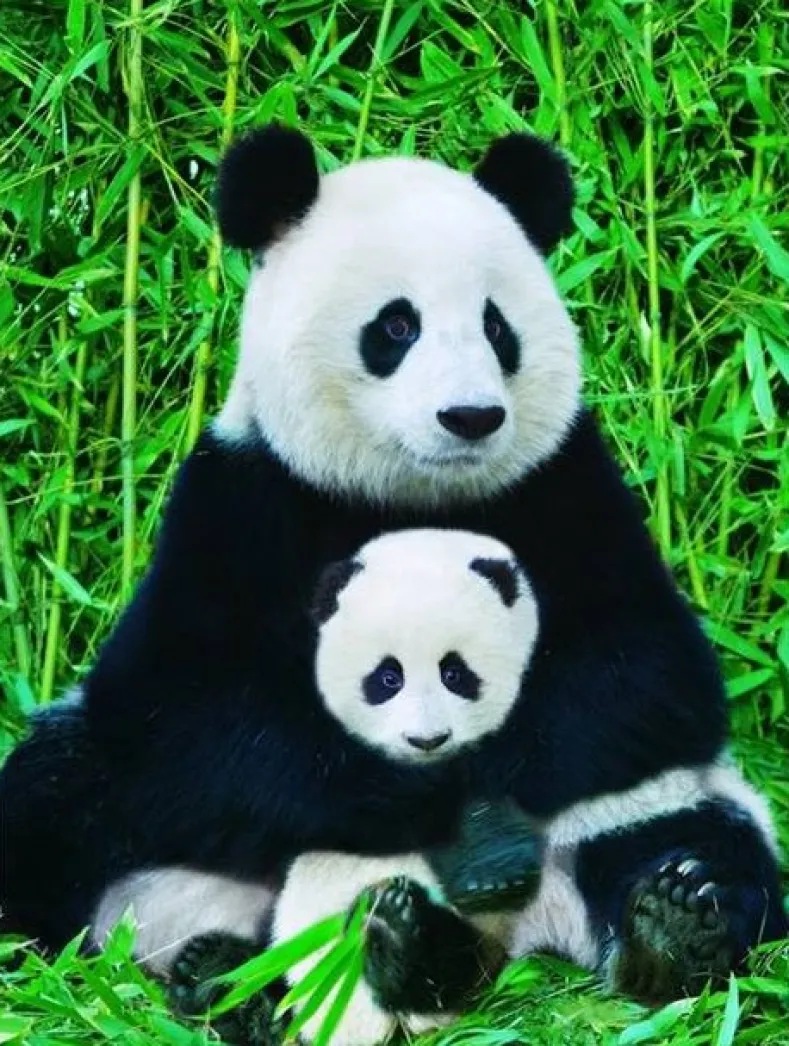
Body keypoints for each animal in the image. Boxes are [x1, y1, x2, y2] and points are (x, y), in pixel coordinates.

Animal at [1, 123, 785, 1038]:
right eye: (397, 326)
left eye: (495, 326)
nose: (471, 416)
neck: (410, 493)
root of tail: (519, 939)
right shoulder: (239, 502)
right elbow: (184, 711)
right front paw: (428, 798)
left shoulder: (567, 488)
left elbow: (645, 675)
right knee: (56, 799)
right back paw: (237, 975)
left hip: (647, 804)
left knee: (698, 835)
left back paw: (663, 925)